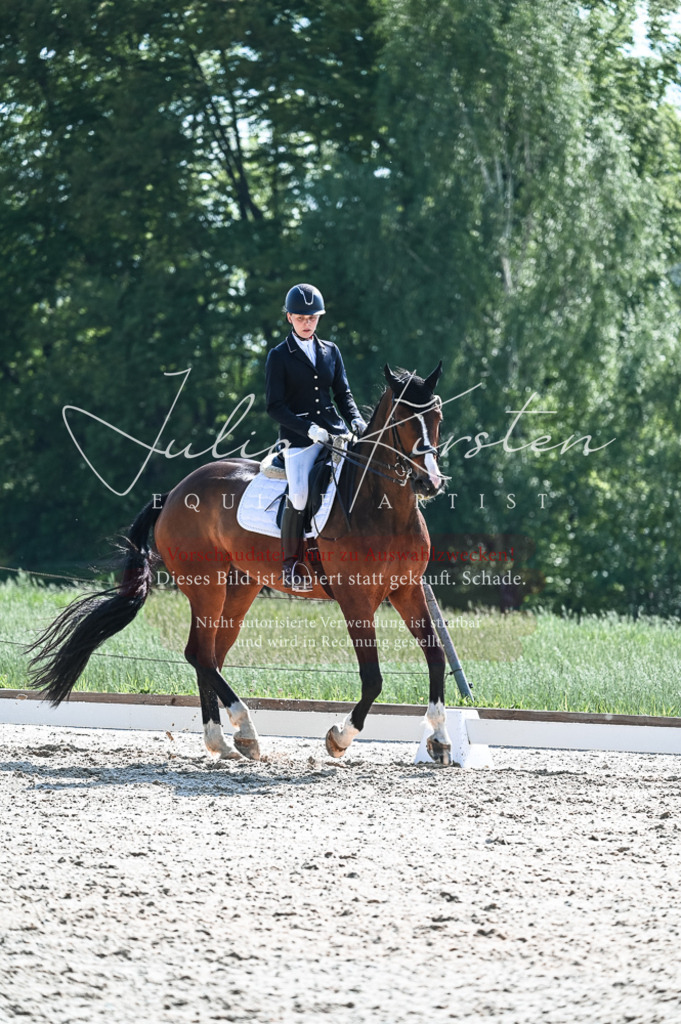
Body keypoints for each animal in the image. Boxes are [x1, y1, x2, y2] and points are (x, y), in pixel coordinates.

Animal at [28, 362, 454, 764]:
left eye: (437, 417)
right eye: (402, 421)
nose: (430, 483)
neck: (383, 509)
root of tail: (174, 493)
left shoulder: (406, 590)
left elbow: (435, 657)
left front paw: (439, 739)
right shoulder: (356, 600)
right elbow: (373, 678)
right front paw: (339, 738)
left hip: (239, 588)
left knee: (210, 656)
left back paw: (222, 741)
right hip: (207, 586)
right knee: (199, 654)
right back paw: (244, 729)